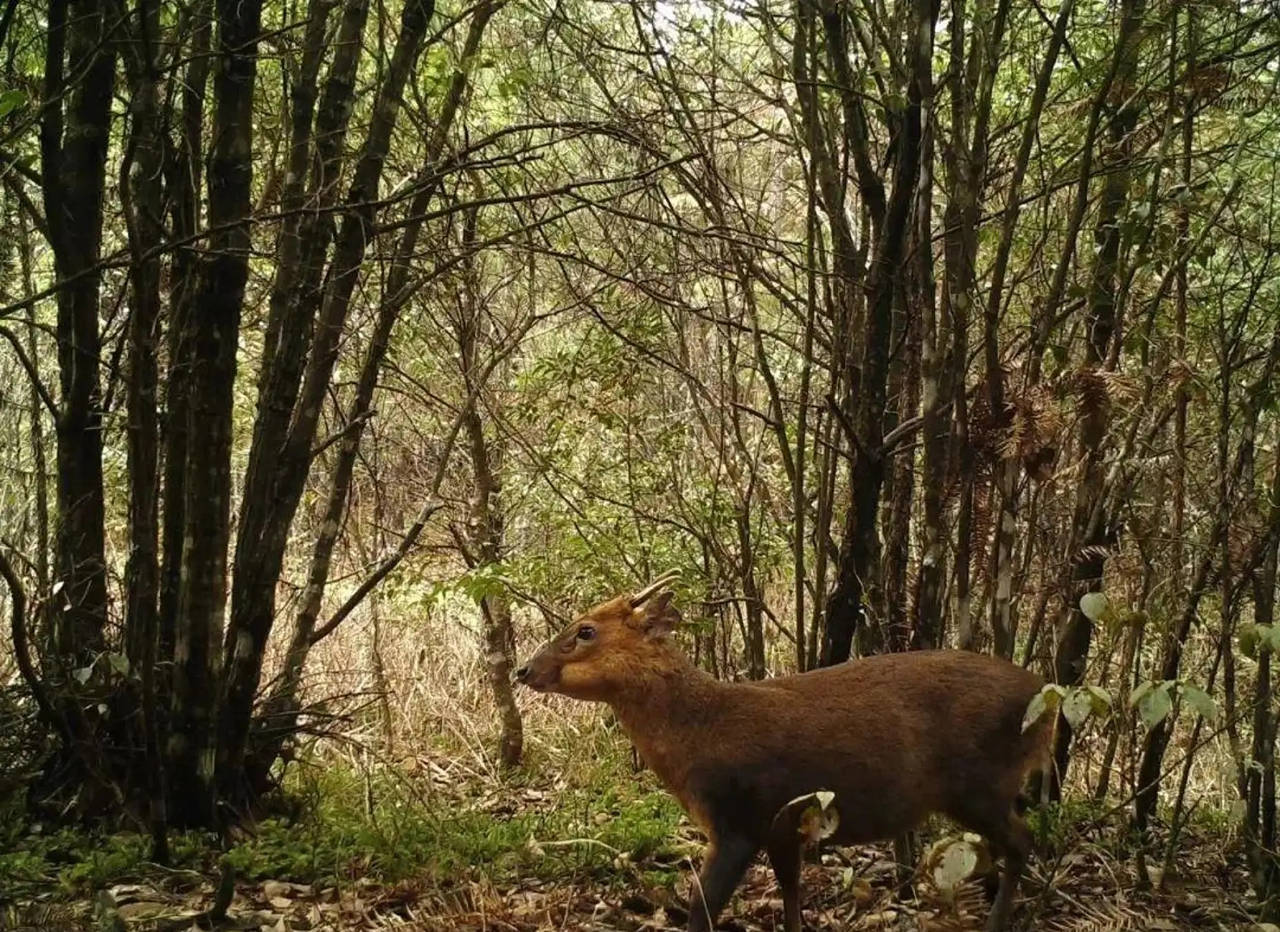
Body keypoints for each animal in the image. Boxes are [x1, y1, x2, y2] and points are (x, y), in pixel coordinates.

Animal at [514, 576, 1054, 932]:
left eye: (585, 630)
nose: (523, 669)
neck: (700, 731)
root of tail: (1047, 696)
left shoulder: (740, 820)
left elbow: (701, 910)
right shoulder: (783, 827)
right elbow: (791, 896)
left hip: (979, 784)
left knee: (1021, 841)